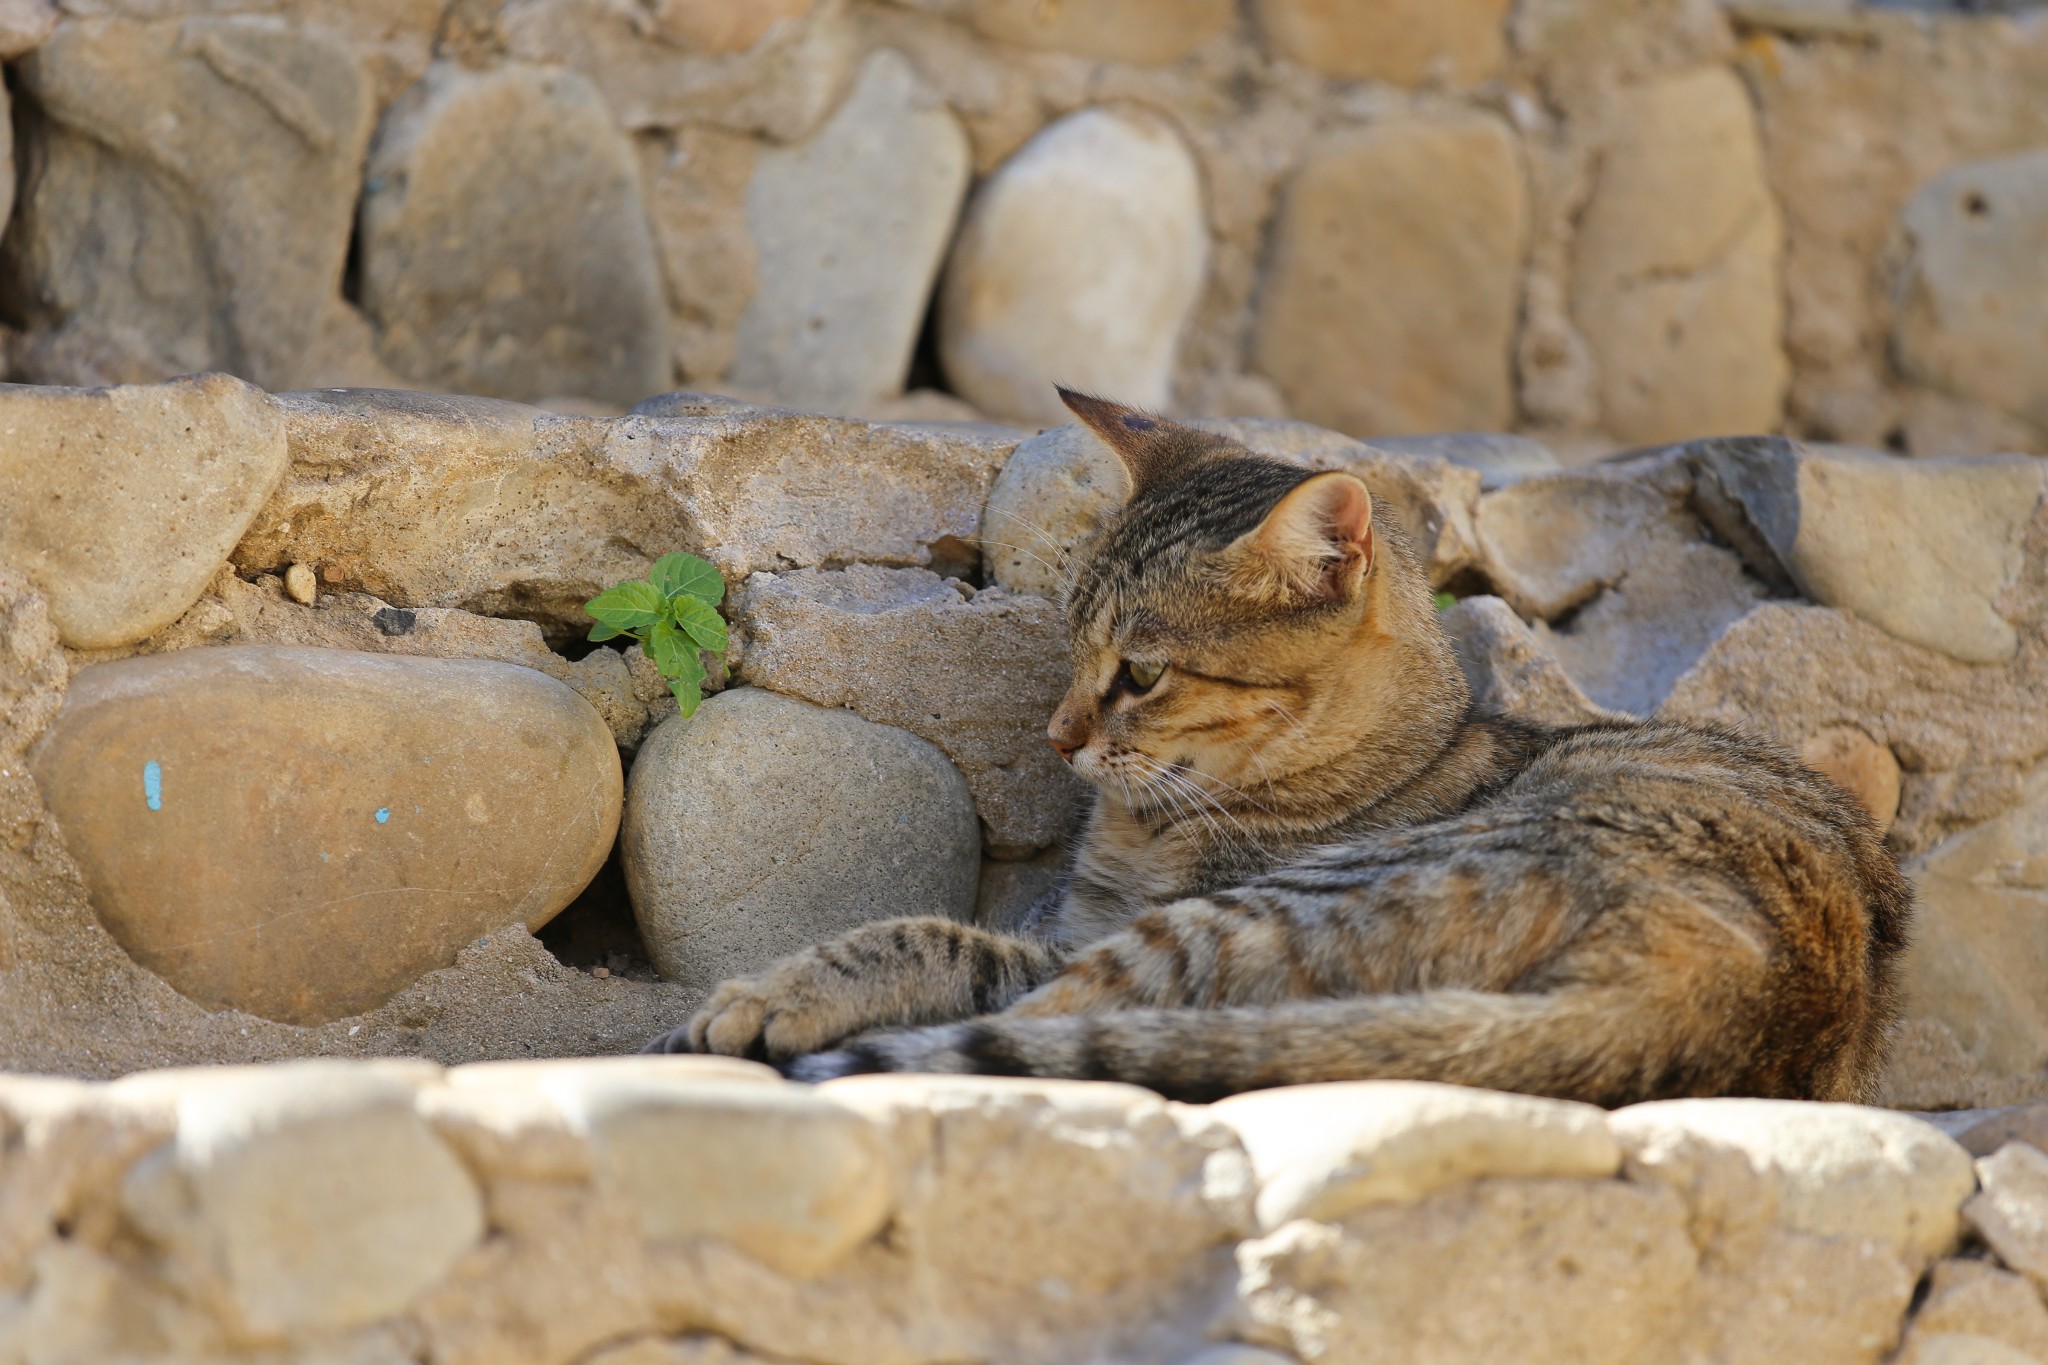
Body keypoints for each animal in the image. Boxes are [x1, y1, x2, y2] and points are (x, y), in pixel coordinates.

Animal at [647, 386, 1908, 1113]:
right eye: (1070, 646)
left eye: (1139, 673)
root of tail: (1740, 984)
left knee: (1051, 1022)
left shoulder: (1106, 930)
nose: (1058, 735)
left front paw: (767, 996)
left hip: (1269, 921)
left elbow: (937, 942)